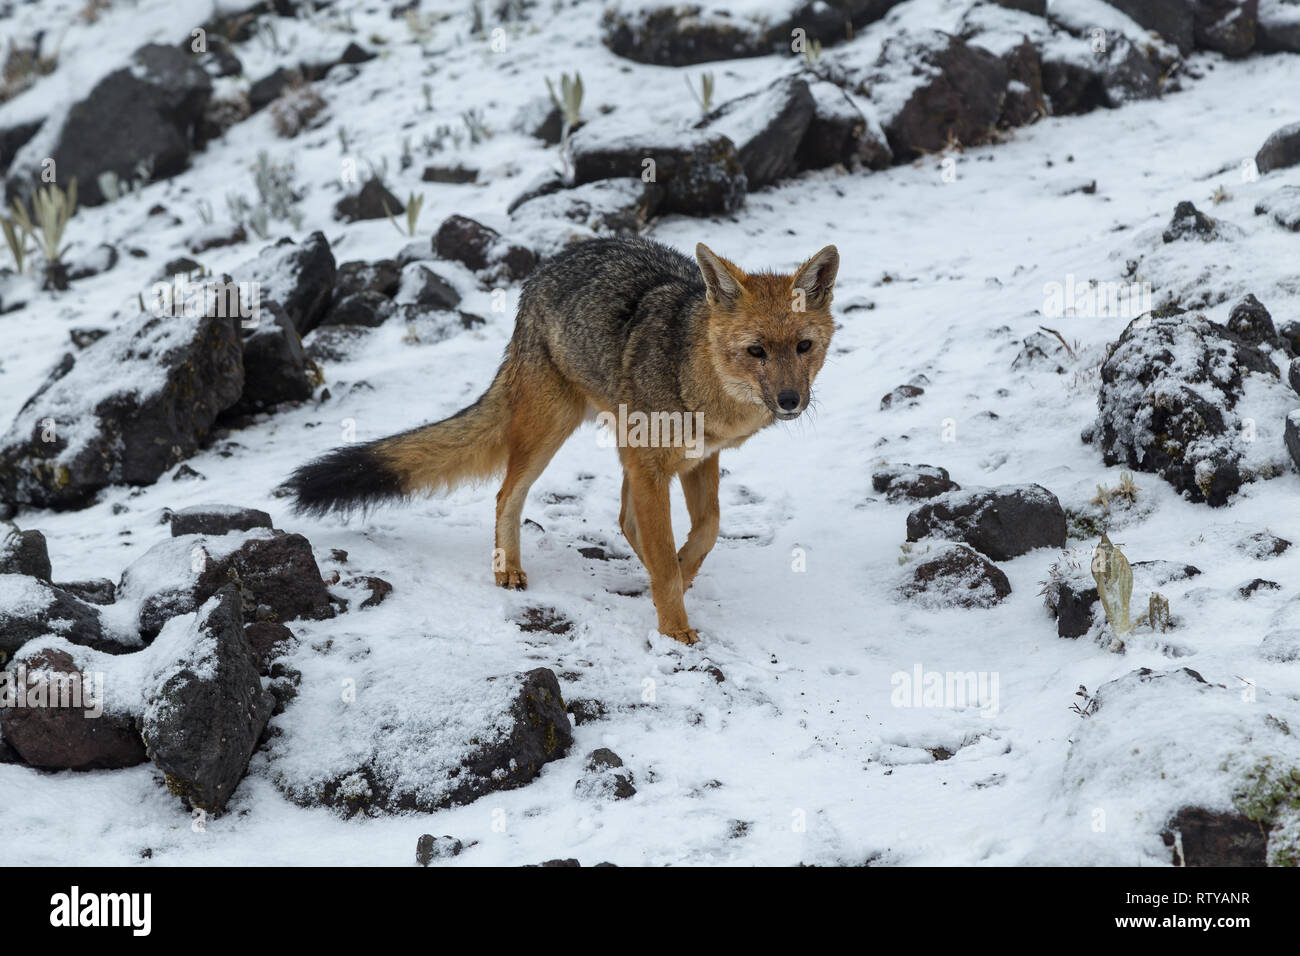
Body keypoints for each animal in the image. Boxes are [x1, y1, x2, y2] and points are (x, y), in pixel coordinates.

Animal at [284, 237, 839, 644]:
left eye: (803, 346)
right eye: (756, 351)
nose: (790, 400)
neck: (697, 383)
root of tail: (546, 267)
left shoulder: (697, 460)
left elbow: (705, 532)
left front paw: (680, 580)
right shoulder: (653, 467)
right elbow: (665, 553)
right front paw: (674, 628)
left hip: (617, 447)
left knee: (623, 519)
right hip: (553, 430)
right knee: (507, 494)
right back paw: (508, 570)